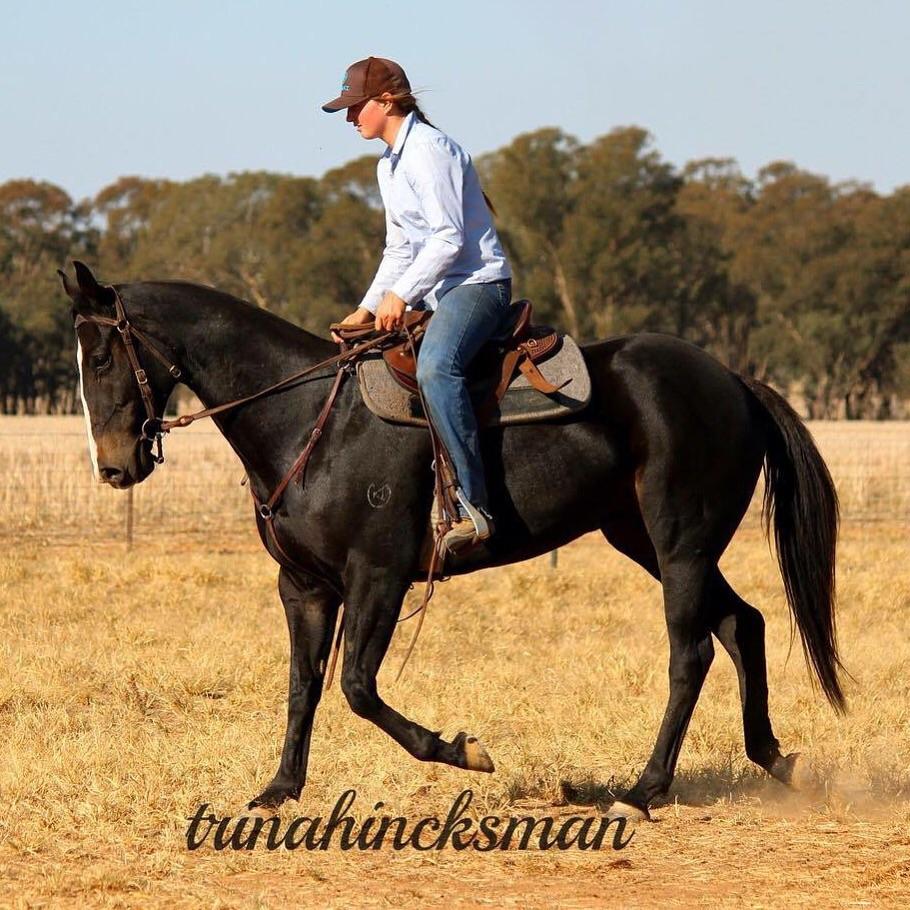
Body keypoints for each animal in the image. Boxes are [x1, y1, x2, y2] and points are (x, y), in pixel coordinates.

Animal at [59, 260, 843, 822]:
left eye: (102, 358)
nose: (113, 467)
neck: (308, 416)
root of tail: (734, 380)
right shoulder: (304, 586)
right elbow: (302, 687)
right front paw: (279, 789)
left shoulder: (378, 576)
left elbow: (356, 687)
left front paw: (463, 751)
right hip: (647, 540)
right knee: (743, 623)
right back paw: (777, 760)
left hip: (680, 544)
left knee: (693, 652)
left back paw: (645, 789)